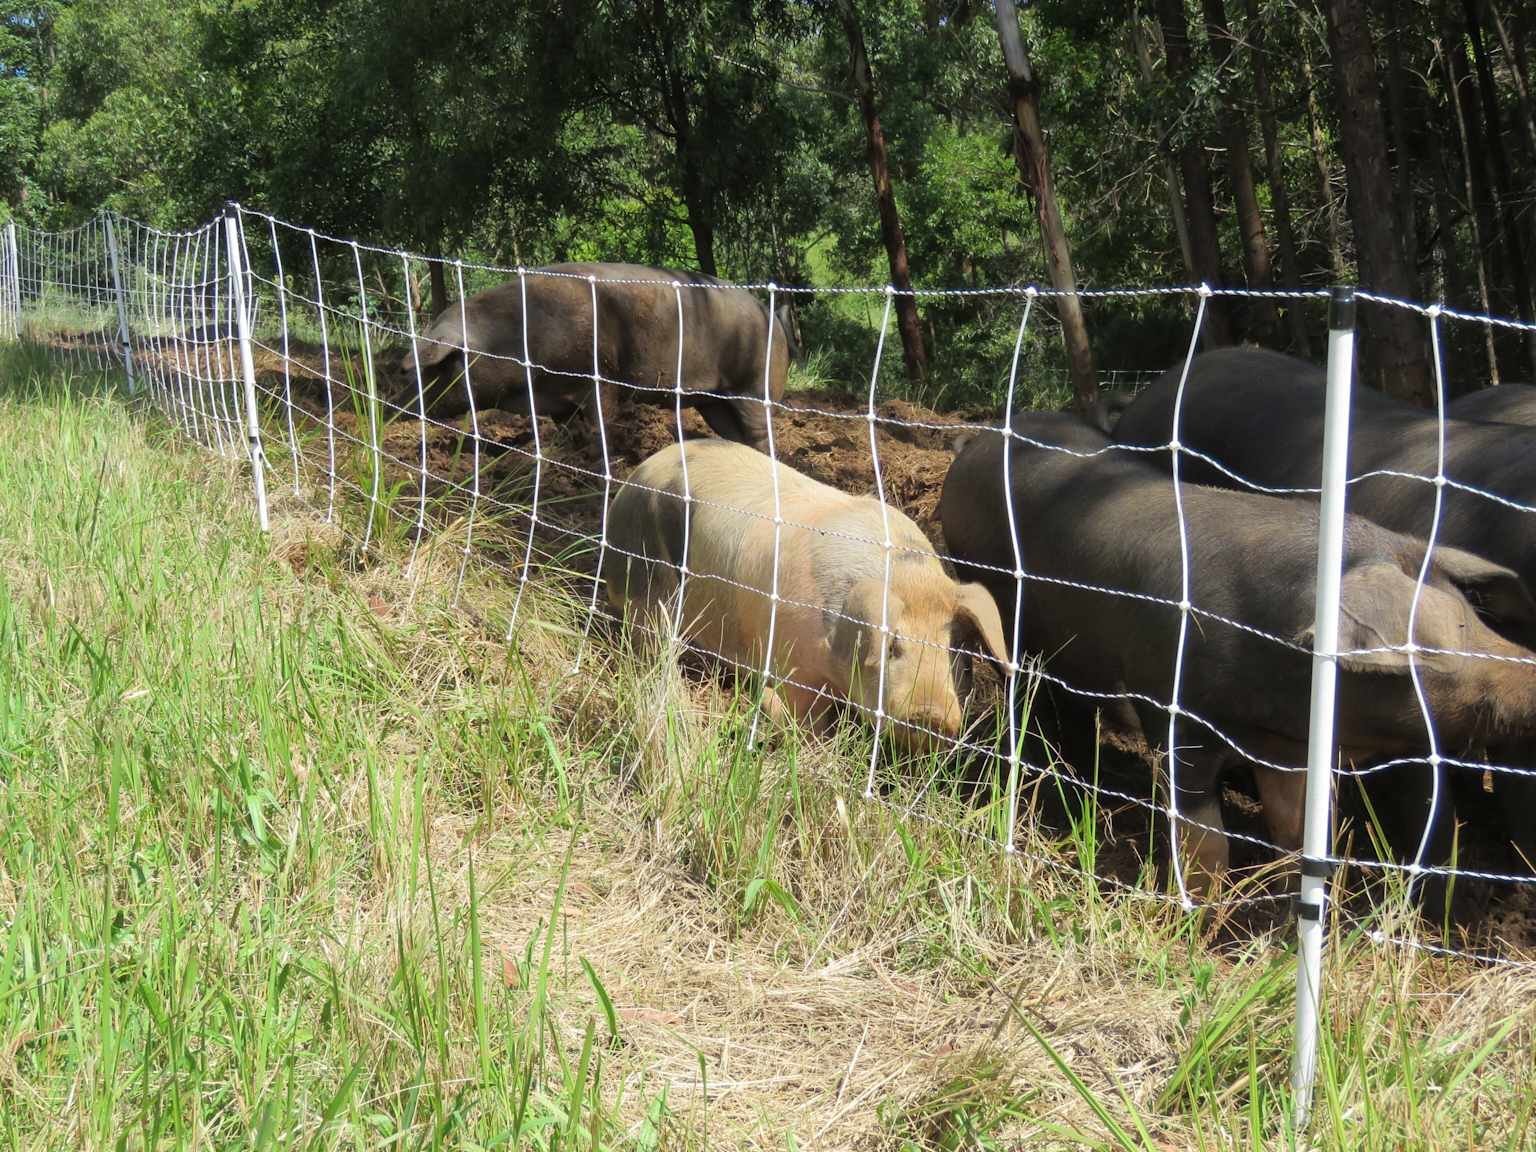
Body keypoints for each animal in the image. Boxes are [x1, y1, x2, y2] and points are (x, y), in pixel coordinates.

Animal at [395, 263, 794, 453]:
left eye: (437, 367)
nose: (395, 409)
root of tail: (771, 316)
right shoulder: (556, 401)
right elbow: (568, 430)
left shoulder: (598, 374)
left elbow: (602, 421)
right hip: (712, 401)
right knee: (735, 434)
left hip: (752, 386)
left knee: (761, 432)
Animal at [602, 439, 1010, 751]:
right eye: (893, 645)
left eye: (956, 649)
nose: (932, 715)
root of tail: (636, 475)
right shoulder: (794, 665)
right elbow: (808, 719)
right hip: (644, 579)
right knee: (650, 643)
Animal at [939, 412, 1536, 891]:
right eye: (1432, 643)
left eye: (1473, 618)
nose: (1528, 672)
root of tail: (978, 440)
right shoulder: (1172, 708)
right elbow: (1203, 837)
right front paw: (1197, 914)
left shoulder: (1287, 743)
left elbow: (1297, 826)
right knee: (1025, 692)